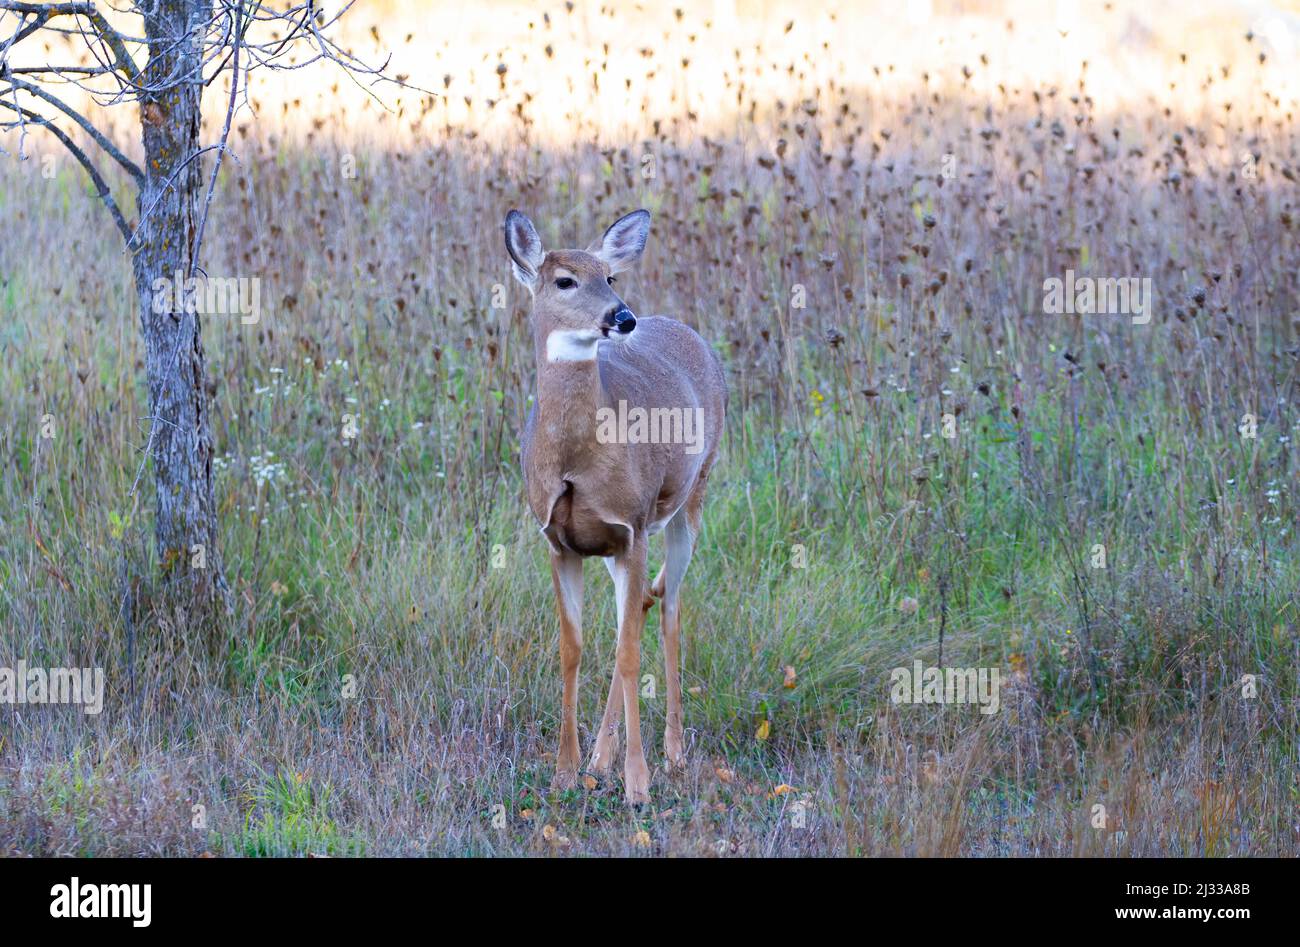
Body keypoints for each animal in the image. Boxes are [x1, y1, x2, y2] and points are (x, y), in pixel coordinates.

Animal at [504, 209, 733, 806]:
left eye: (609, 276)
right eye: (565, 280)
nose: (622, 317)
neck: (576, 458)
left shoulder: (632, 525)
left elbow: (629, 655)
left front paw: (638, 783)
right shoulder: (559, 542)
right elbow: (574, 648)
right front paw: (565, 772)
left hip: (689, 498)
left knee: (668, 607)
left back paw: (672, 753)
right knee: (640, 611)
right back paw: (598, 760)